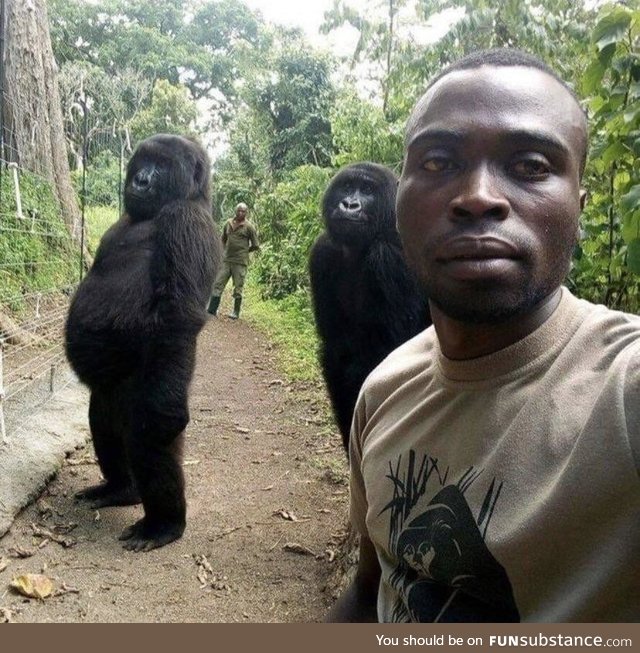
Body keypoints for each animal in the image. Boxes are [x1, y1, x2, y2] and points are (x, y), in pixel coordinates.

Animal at [65, 132, 220, 552]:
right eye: (143, 161)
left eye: (162, 166)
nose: (141, 180)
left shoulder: (186, 222)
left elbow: (177, 318)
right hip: (109, 394)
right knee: (103, 422)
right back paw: (120, 489)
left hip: (147, 390)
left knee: (149, 440)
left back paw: (164, 524)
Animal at [310, 160, 430, 450]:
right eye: (346, 186)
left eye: (366, 190)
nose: (349, 204)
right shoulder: (322, 252)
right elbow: (336, 355)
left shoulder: (390, 258)